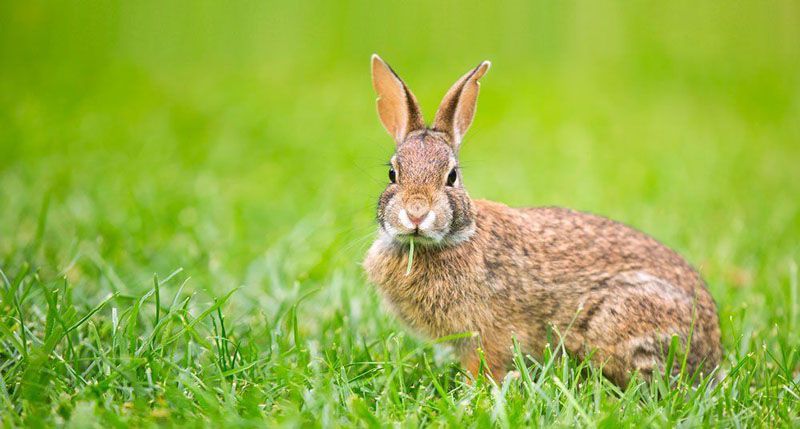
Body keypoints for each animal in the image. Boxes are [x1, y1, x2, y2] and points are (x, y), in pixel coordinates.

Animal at [362, 54, 722, 386]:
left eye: (451, 177)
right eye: (393, 174)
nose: (416, 213)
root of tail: (711, 356)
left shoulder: (489, 334)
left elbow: (486, 366)